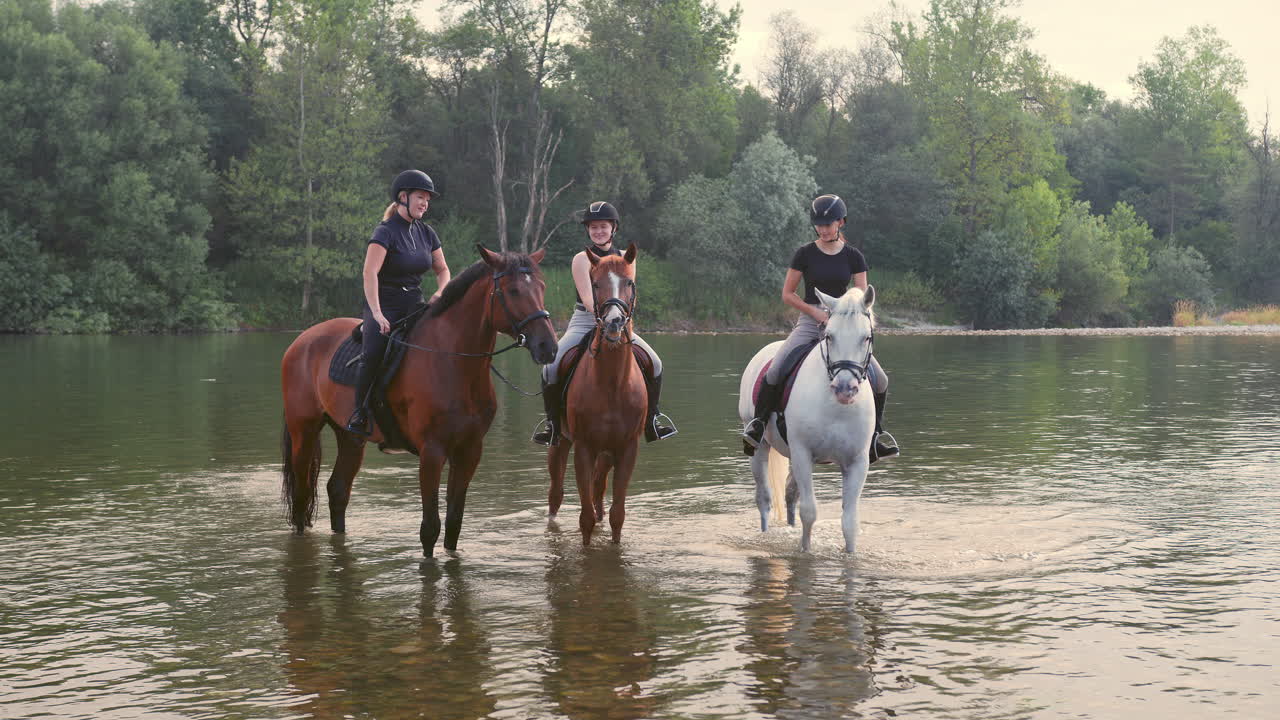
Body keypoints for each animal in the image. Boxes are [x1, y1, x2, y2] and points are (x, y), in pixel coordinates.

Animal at [280, 246, 558, 557]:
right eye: (512, 290)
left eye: (542, 287)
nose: (548, 346)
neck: (453, 361)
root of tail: (302, 339)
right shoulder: (432, 452)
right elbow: (430, 527)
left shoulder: (469, 450)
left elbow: (454, 522)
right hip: (303, 432)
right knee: (301, 496)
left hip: (350, 437)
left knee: (338, 491)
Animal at [546, 244, 647, 544]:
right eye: (595, 284)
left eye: (629, 282)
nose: (614, 322)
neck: (612, 384)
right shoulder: (583, 447)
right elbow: (586, 519)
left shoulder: (627, 449)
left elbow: (617, 515)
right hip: (561, 443)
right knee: (556, 494)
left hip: (606, 455)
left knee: (599, 491)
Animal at [737, 286, 878, 553]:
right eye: (830, 336)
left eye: (866, 337)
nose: (845, 389)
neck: (836, 407)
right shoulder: (803, 452)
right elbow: (809, 512)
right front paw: (805, 552)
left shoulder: (857, 461)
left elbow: (850, 521)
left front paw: (850, 555)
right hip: (761, 447)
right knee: (764, 499)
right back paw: (765, 535)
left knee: (790, 495)